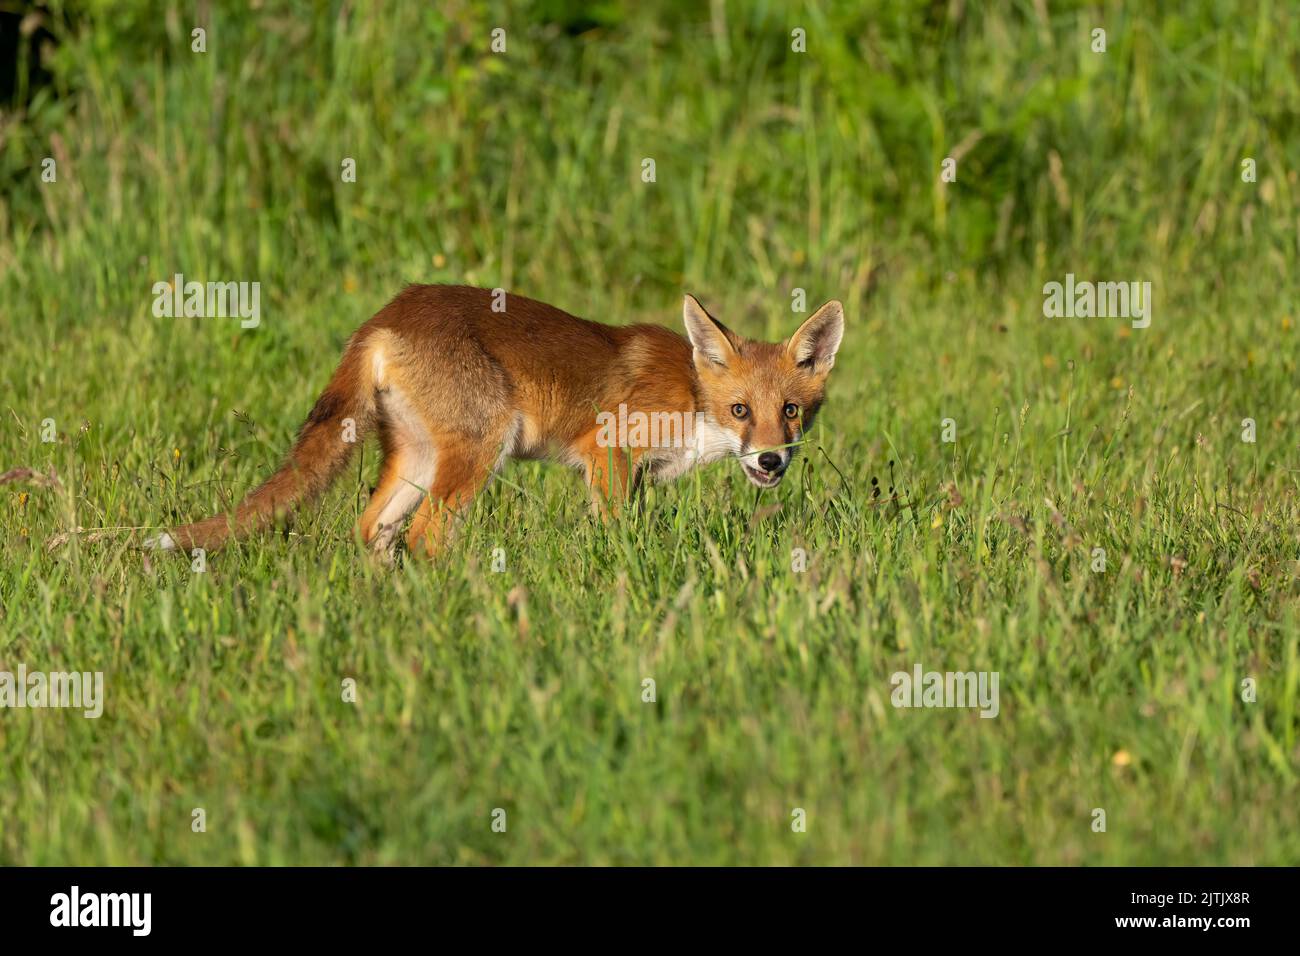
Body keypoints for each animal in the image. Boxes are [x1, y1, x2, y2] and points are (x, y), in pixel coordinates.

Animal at [144, 283, 842, 556]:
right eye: (740, 410)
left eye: (791, 412)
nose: (770, 460)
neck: (694, 401)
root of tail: (385, 315)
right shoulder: (607, 453)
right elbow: (614, 535)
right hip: (481, 448)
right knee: (425, 537)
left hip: (417, 458)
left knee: (372, 529)